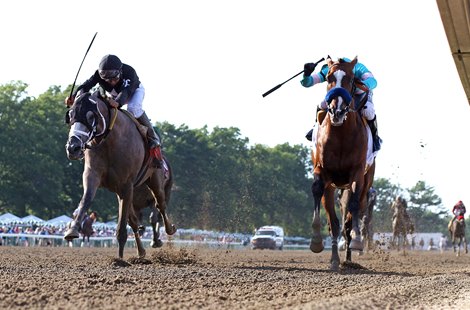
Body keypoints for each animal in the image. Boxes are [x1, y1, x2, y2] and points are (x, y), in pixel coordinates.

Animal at [64, 92, 176, 260]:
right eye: (71, 115)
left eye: (91, 116)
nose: (73, 147)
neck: (109, 142)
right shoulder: (93, 176)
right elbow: (86, 199)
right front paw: (72, 230)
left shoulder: (126, 185)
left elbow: (126, 224)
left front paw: (120, 259)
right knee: (137, 220)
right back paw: (141, 250)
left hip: (156, 180)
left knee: (160, 205)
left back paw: (167, 231)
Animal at [310, 57, 376, 270]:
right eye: (328, 77)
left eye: (351, 78)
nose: (336, 111)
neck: (340, 135)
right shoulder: (322, 171)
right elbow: (318, 192)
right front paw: (316, 241)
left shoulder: (357, 173)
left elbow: (353, 205)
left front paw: (356, 240)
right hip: (332, 187)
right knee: (335, 222)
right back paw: (337, 260)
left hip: (367, 181)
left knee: (355, 211)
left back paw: (349, 255)